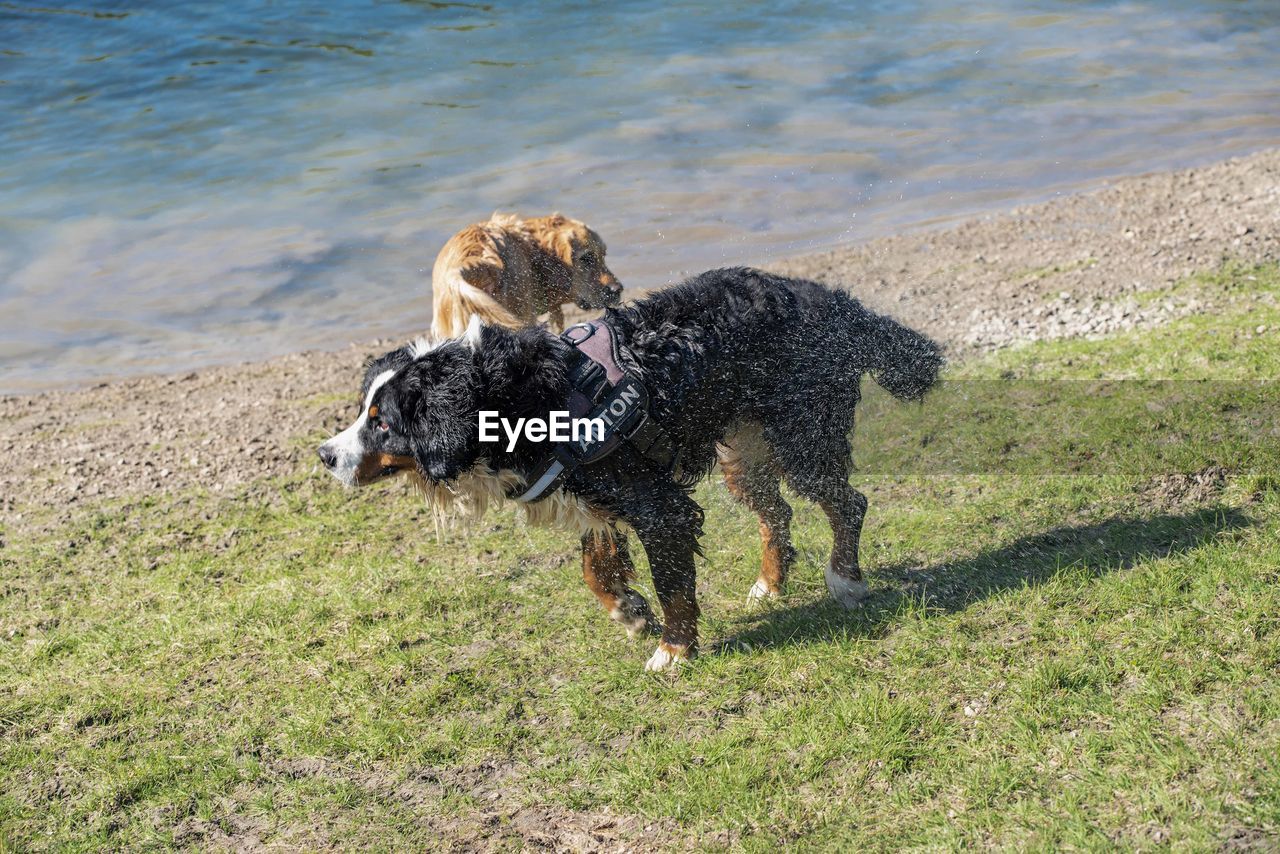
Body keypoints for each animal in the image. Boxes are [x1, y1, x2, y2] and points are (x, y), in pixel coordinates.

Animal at [320, 267, 942, 665]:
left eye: (382, 423)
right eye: (363, 411)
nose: (327, 454)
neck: (519, 396)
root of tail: (829, 299)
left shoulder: (658, 507)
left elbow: (672, 584)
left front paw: (674, 649)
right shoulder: (593, 496)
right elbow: (596, 569)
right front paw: (630, 609)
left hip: (803, 440)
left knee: (846, 503)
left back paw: (846, 579)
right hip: (744, 457)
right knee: (778, 515)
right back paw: (769, 583)